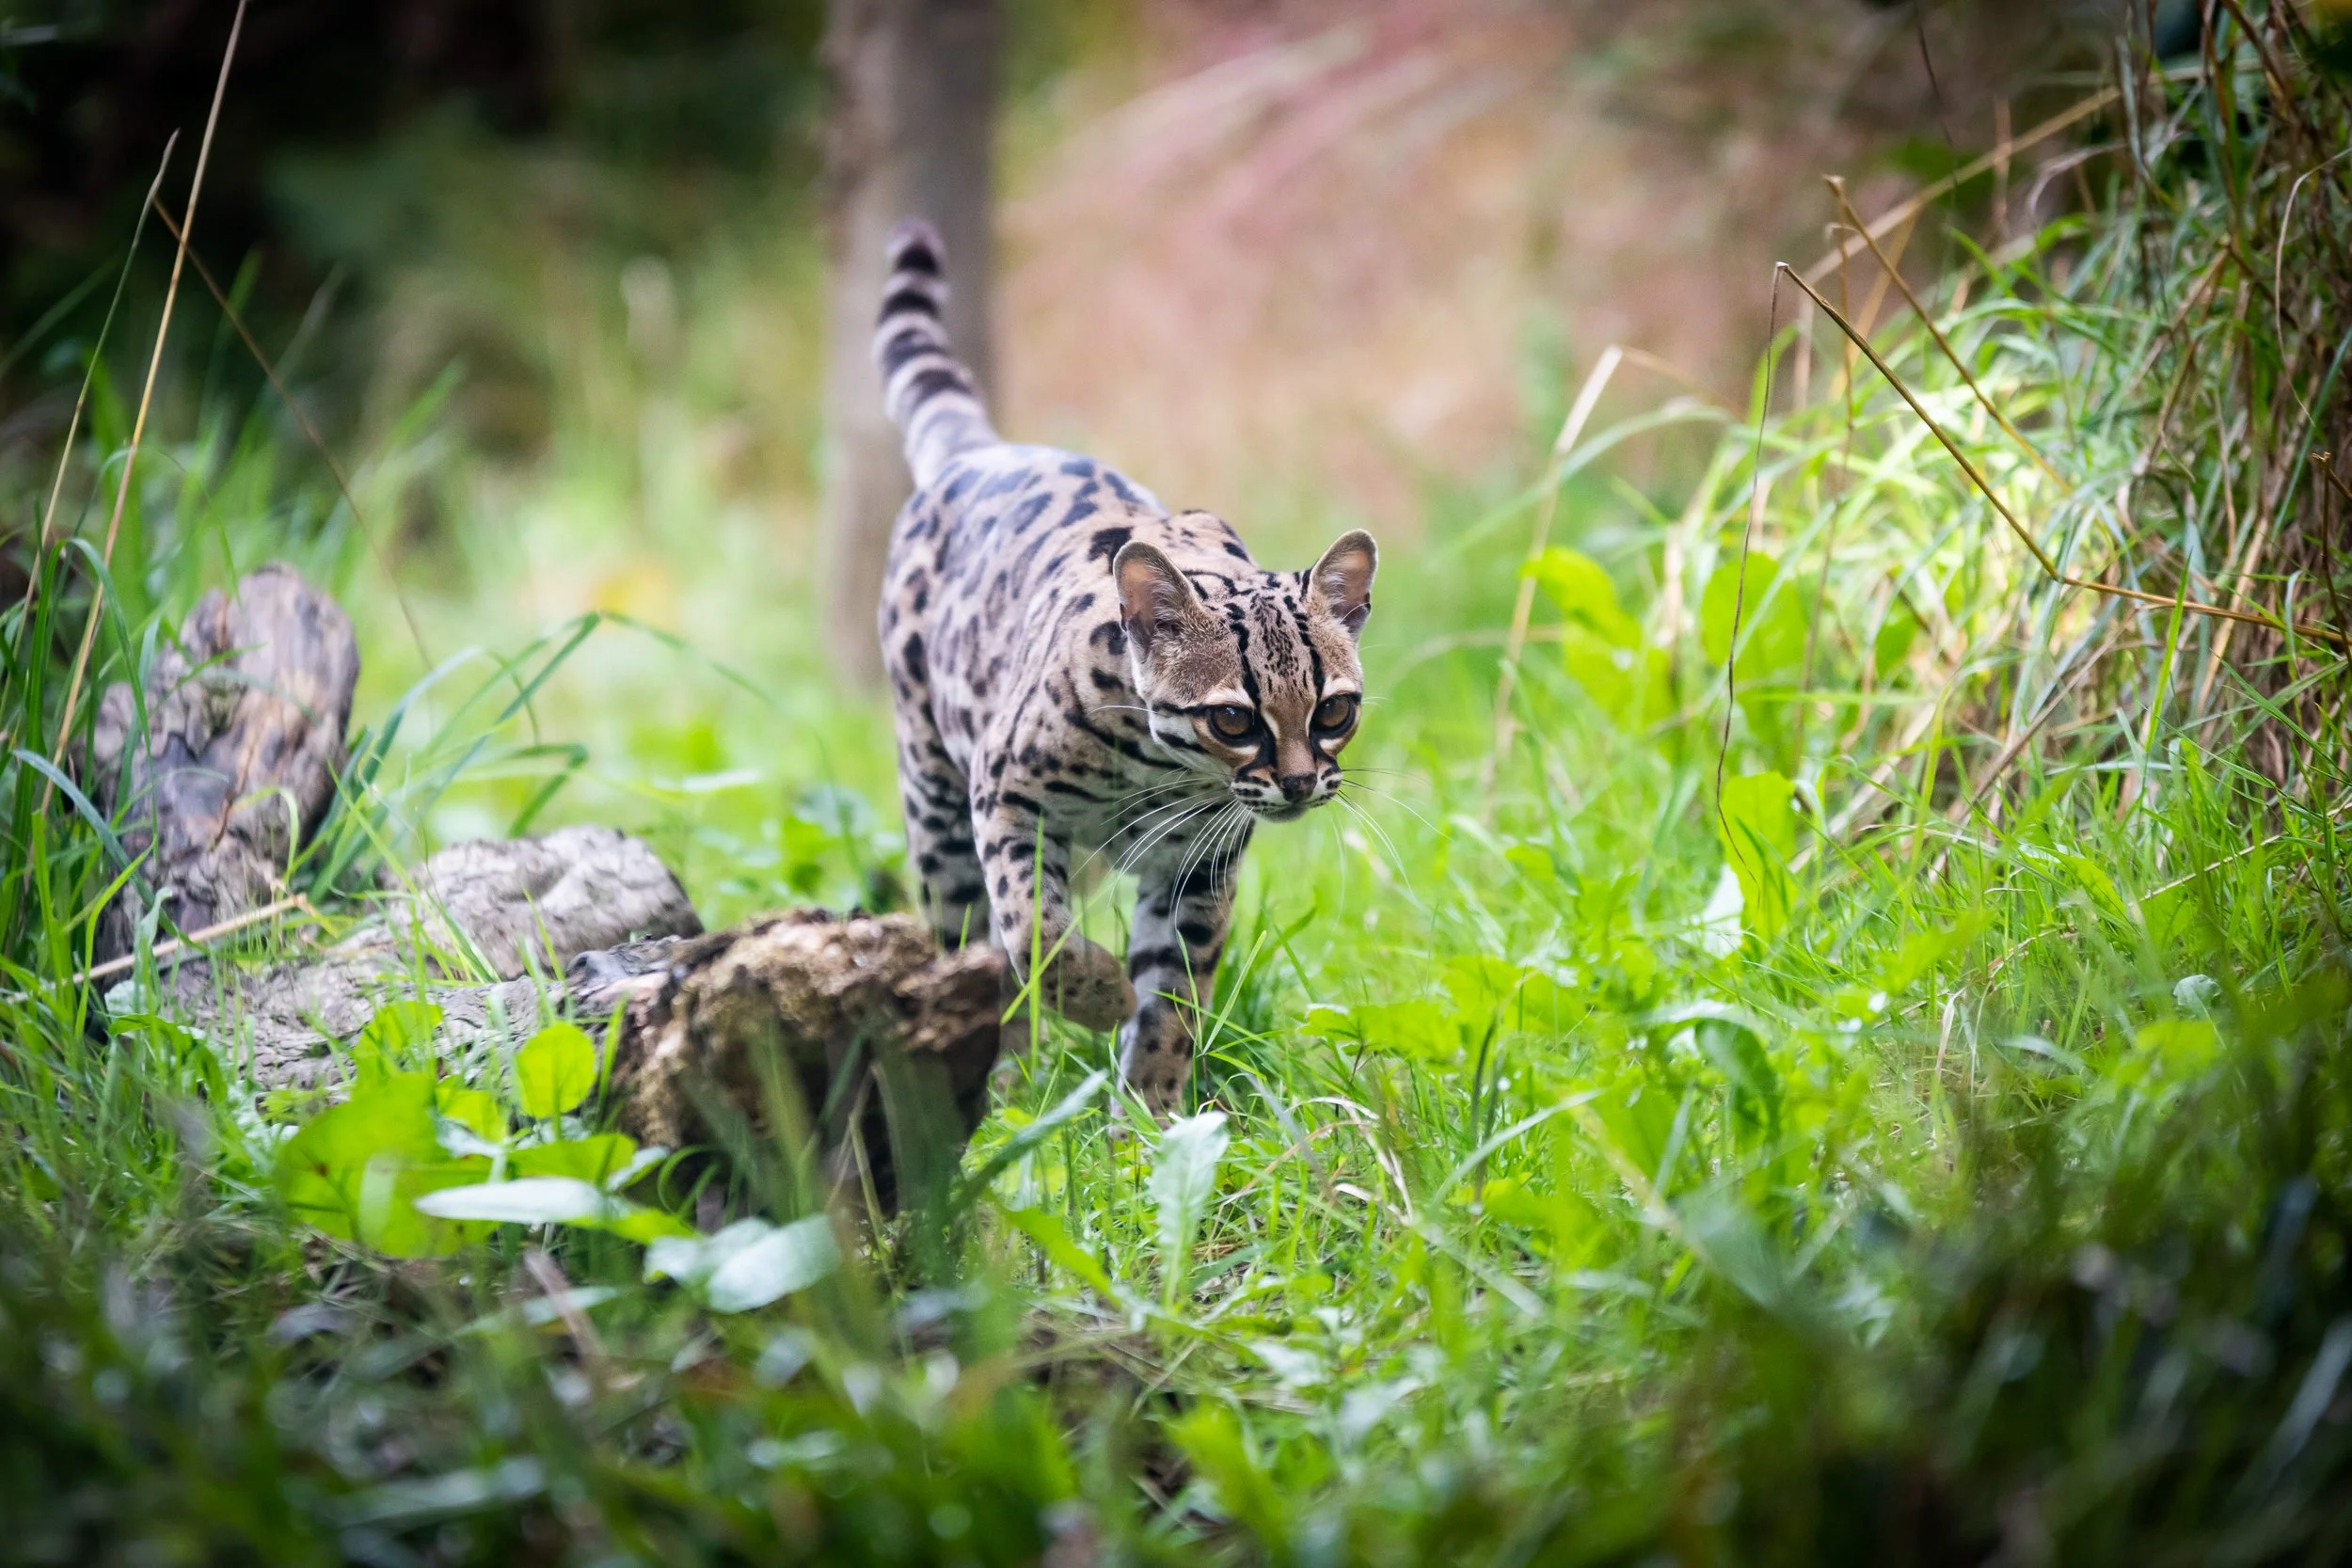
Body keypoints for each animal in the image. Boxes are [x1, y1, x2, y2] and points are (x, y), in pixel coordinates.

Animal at [870, 218, 1378, 1117]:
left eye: (1333, 711)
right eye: (1234, 718)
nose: (1296, 784)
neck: (1157, 766)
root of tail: (983, 450)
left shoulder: (1200, 863)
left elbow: (1173, 995)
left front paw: (1148, 1117)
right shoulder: (1004, 797)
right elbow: (1037, 931)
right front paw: (1101, 996)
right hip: (935, 809)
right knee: (973, 944)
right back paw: (1000, 1089)